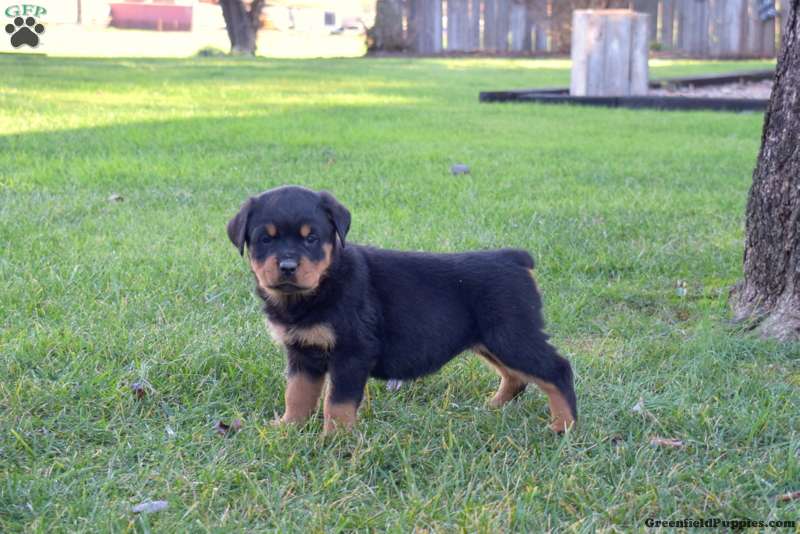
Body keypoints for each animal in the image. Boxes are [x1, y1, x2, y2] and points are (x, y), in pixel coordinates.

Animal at [227, 186, 577, 434]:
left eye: (311, 238)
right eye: (265, 239)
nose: (287, 266)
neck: (318, 289)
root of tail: (515, 257)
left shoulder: (353, 351)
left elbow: (336, 401)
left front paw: (335, 439)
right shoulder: (302, 351)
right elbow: (297, 393)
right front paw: (288, 427)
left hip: (511, 334)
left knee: (557, 369)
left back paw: (564, 426)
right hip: (491, 340)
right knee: (516, 376)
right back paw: (492, 407)